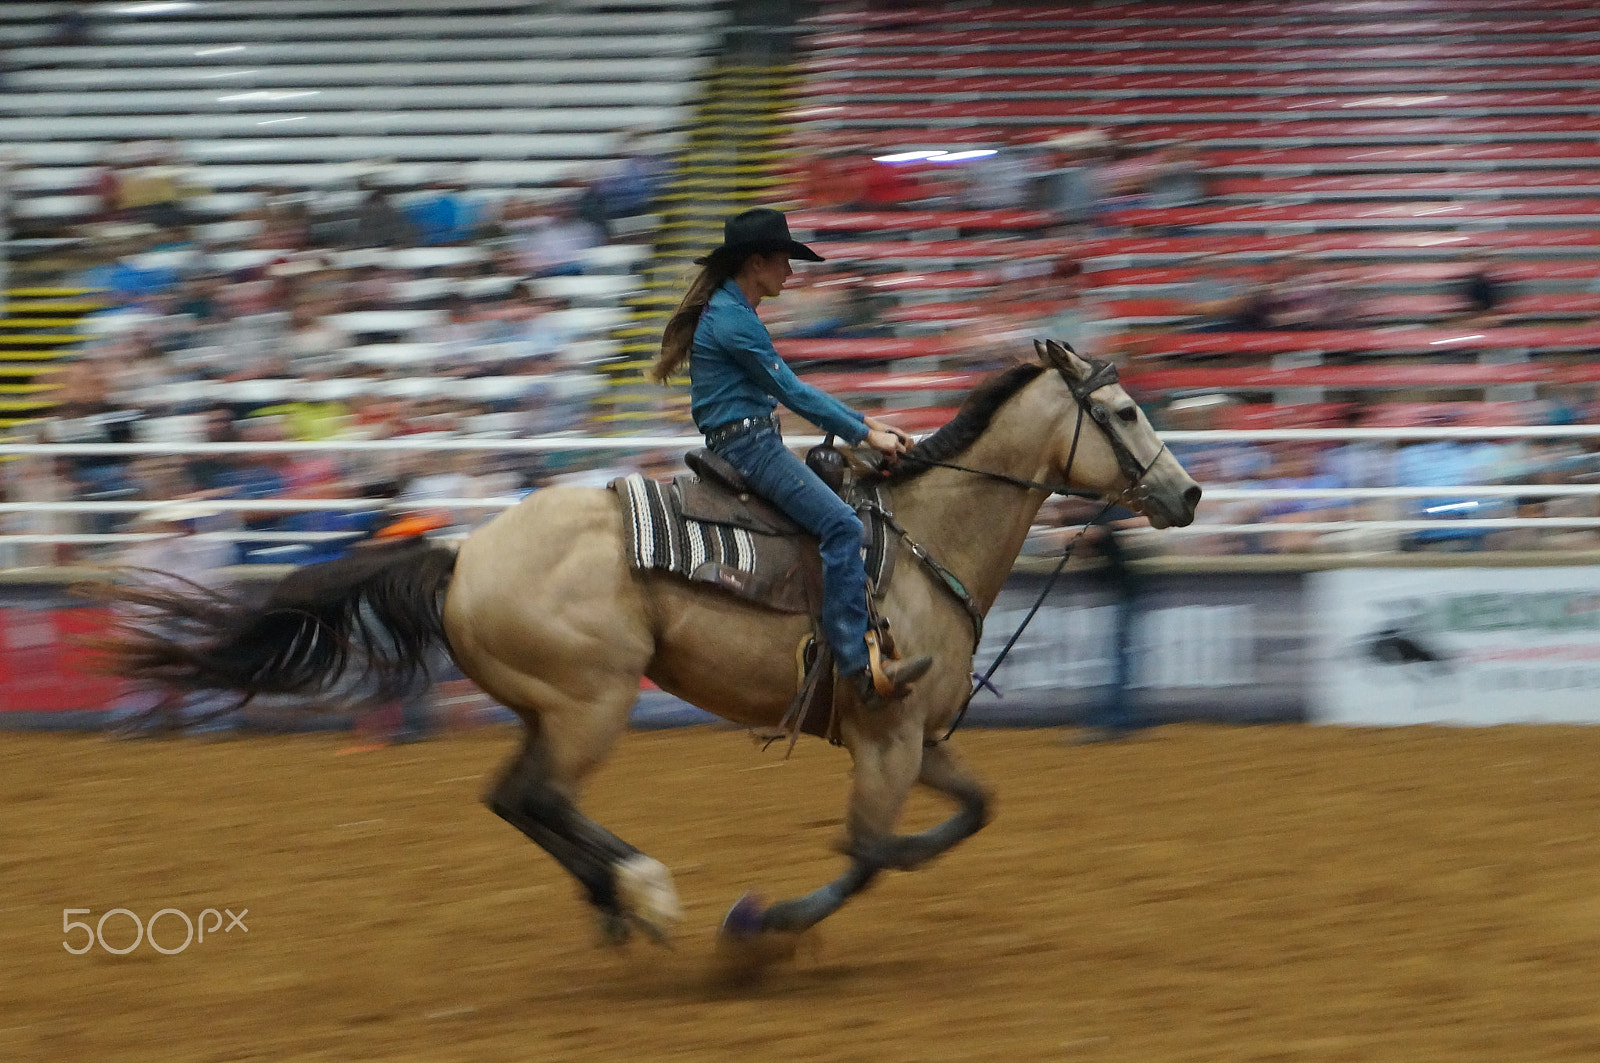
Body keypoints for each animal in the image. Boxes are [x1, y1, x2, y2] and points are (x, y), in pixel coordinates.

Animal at [93, 342, 1203, 954]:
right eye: (1120, 409)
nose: (1187, 492)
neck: (927, 538)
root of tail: (460, 552)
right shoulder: (887, 739)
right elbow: (870, 853)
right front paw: (766, 923)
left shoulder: (919, 737)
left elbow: (970, 814)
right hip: (594, 698)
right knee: (541, 797)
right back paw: (645, 889)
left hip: (550, 704)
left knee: (515, 797)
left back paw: (618, 900)